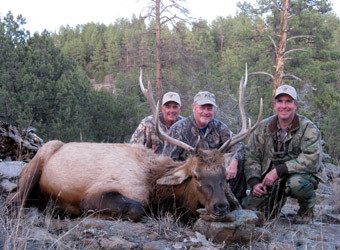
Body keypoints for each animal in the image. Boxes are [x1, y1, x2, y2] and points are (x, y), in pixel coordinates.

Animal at [7, 65, 262, 222]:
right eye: (196, 176)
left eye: (223, 174)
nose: (221, 207)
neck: (153, 184)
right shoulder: (96, 193)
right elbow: (136, 208)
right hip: (40, 158)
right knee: (14, 201)